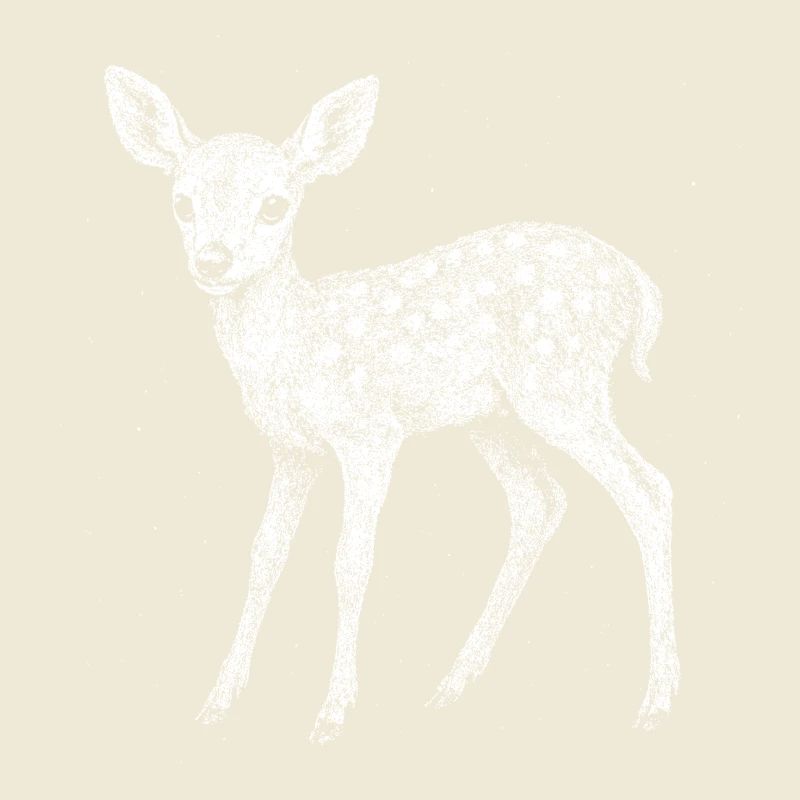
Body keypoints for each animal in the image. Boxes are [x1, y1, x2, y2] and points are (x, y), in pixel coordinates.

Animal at [104, 66, 679, 743]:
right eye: (182, 202)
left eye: (275, 204)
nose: (213, 260)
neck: (294, 344)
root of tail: (640, 285)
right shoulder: (291, 448)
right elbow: (265, 553)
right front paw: (218, 700)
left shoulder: (368, 433)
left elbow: (351, 560)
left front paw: (332, 712)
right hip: (494, 416)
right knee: (540, 501)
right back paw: (454, 683)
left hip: (562, 383)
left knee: (647, 488)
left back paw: (657, 700)